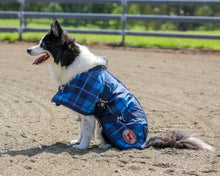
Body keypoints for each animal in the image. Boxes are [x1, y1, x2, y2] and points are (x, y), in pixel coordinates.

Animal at [26, 20, 214, 151]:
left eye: (44, 44)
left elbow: (86, 131)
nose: (28, 50)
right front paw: (77, 141)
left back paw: (103, 145)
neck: (68, 59)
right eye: (39, 42)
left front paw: (81, 146)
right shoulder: (82, 108)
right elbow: (81, 129)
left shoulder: (88, 108)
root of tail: (145, 141)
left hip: (107, 124)